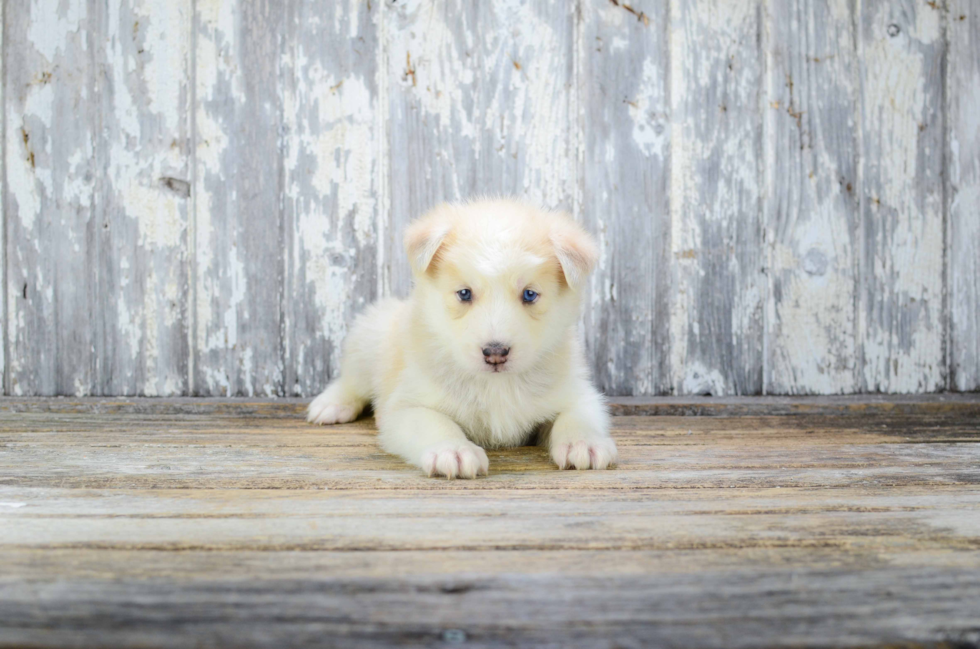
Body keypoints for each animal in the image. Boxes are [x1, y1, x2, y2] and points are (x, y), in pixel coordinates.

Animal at [306, 197, 616, 476]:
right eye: (464, 293)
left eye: (529, 294)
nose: (495, 353)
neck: (497, 386)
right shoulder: (407, 407)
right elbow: (435, 423)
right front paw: (453, 450)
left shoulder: (579, 393)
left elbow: (577, 416)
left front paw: (584, 443)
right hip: (368, 340)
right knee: (351, 381)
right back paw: (331, 405)